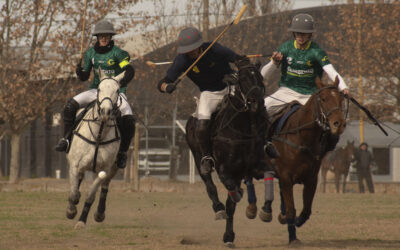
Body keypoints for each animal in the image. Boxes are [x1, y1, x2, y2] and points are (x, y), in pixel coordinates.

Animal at [185, 57, 268, 247]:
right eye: (243, 79)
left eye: (260, 77)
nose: (257, 103)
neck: (242, 129)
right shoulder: (225, 170)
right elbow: (231, 196)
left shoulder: (253, 168)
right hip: (199, 158)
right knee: (209, 184)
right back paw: (218, 208)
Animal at [268, 76, 346, 244]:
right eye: (323, 99)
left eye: (341, 99)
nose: (339, 124)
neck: (301, 138)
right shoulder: (286, 177)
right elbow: (291, 209)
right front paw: (293, 239)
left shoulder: (311, 178)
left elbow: (306, 210)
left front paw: (293, 220)